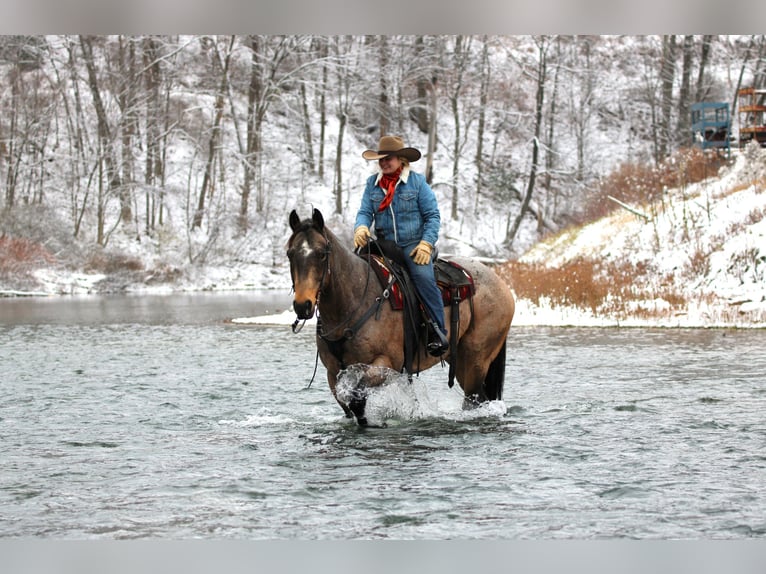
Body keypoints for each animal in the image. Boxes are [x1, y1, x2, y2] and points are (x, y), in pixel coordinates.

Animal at [287, 208, 515, 425]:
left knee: (474, 399)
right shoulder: (333, 372)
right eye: (290, 254)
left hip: (476, 359)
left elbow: (358, 398)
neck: (354, 302)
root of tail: (500, 283)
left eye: (321, 254)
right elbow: (347, 404)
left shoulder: (387, 363)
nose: (303, 305)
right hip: (459, 359)